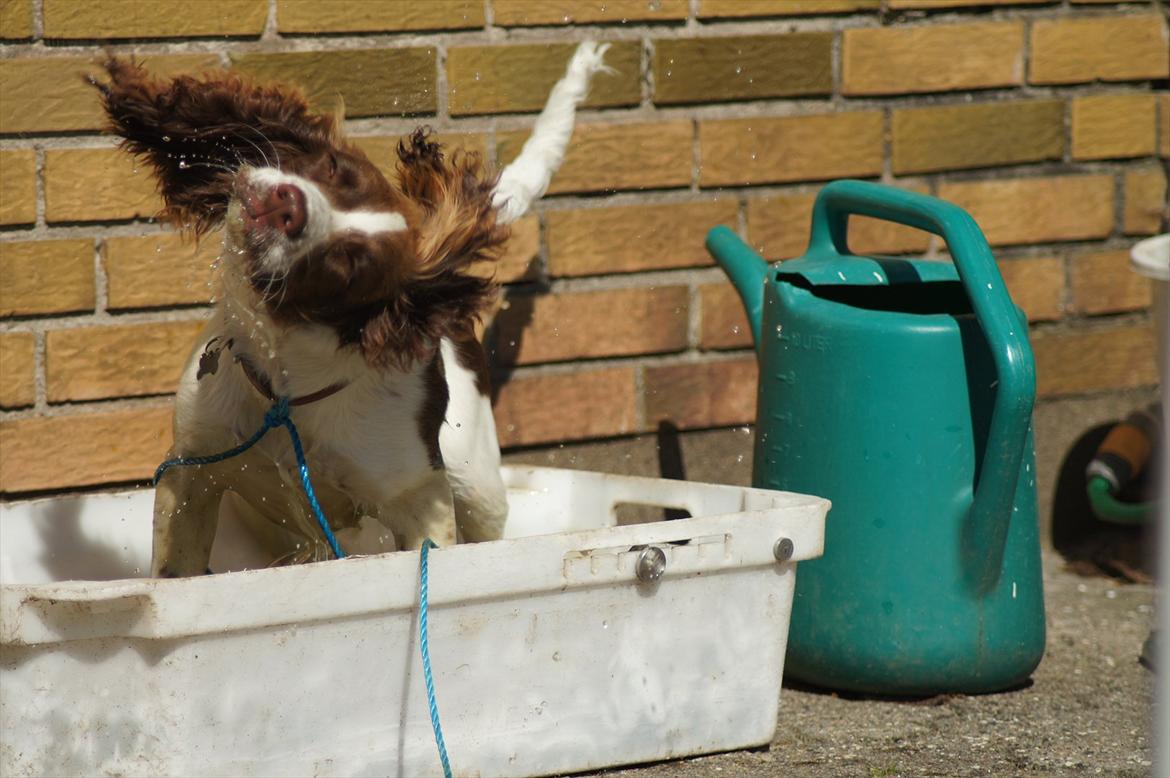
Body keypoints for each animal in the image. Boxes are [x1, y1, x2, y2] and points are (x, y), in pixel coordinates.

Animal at [91, 43, 613, 575]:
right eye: (333, 167)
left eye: (347, 265)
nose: (287, 204)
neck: (286, 387)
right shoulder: (193, 467)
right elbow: (176, 568)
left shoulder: (419, 496)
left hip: (476, 482)